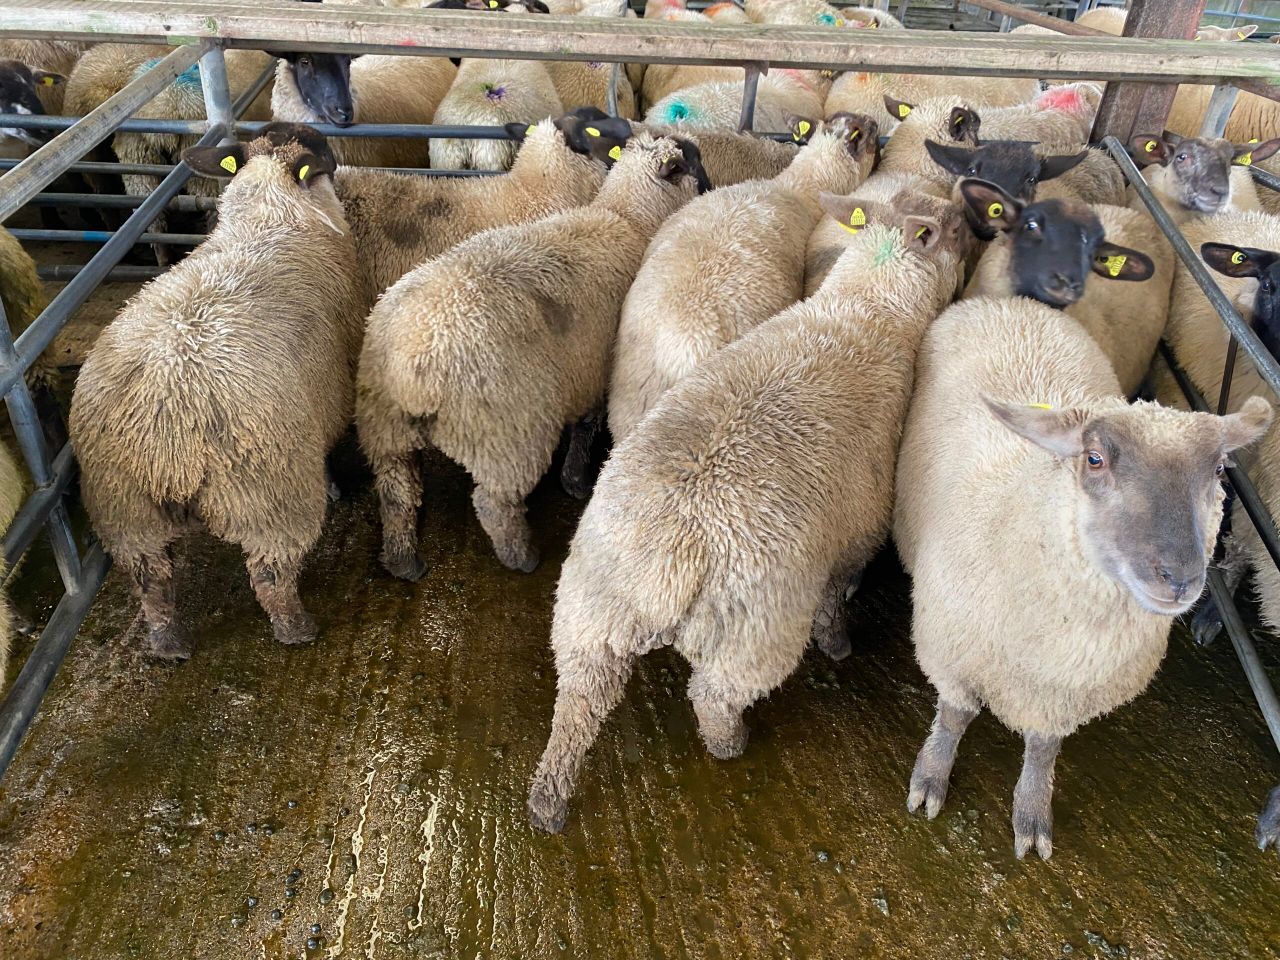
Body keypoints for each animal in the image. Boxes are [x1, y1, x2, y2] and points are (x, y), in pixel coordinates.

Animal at [69, 123, 367, 660]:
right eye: (328, 159)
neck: (271, 213)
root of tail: (165, 441)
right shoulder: (333, 385)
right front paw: (335, 484)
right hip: (272, 495)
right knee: (271, 574)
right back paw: (297, 629)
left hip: (123, 510)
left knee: (152, 581)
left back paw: (168, 643)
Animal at [357, 126, 709, 579]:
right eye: (689, 162)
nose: (713, 187)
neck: (627, 220)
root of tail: (408, 368)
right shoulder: (595, 367)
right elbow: (586, 425)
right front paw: (576, 480)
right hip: (506, 434)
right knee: (494, 503)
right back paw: (521, 556)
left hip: (385, 431)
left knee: (396, 493)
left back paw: (404, 562)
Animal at [526, 191, 972, 834]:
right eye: (956, 229)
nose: (982, 228)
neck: (867, 313)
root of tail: (667, 557)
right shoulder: (858, 530)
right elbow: (836, 598)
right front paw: (839, 645)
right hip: (752, 631)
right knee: (713, 696)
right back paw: (728, 744)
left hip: (590, 613)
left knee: (578, 704)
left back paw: (548, 799)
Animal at [892, 286, 1271, 858]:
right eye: (1094, 459)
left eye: (1220, 469)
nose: (1178, 578)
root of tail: (1014, 304)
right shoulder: (951, 652)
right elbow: (955, 717)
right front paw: (932, 777)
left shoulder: (1064, 697)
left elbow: (1043, 750)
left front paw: (1031, 813)